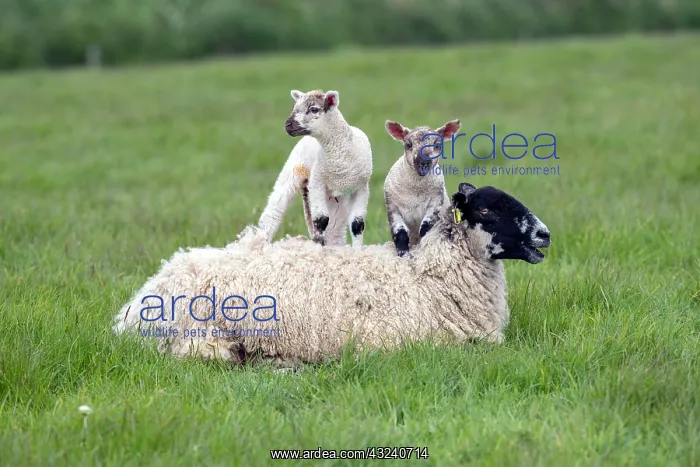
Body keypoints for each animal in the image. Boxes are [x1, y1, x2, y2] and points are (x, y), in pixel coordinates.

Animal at [257, 89, 373, 248]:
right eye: (295, 107)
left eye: (314, 109)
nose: (287, 125)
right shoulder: (317, 183)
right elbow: (321, 220)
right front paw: (318, 248)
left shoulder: (361, 188)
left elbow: (357, 224)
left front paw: (357, 251)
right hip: (294, 172)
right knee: (273, 212)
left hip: (335, 196)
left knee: (335, 227)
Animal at [383, 118, 461, 257]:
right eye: (408, 145)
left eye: (437, 145)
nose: (423, 163)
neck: (415, 191)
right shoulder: (392, 208)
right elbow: (400, 232)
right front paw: (403, 253)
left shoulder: (435, 204)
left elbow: (426, 228)